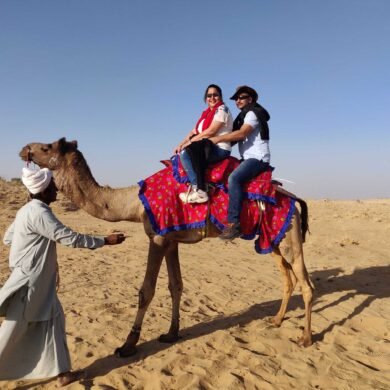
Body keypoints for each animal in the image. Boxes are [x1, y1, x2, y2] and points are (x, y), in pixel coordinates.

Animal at [19, 137, 316, 354]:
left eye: (46, 147)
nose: (24, 149)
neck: (134, 203)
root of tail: (293, 198)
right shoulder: (172, 241)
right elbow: (176, 285)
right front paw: (172, 333)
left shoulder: (158, 237)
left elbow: (146, 290)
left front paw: (128, 344)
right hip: (272, 237)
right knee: (288, 278)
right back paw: (277, 320)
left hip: (288, 234)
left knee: (306, 284)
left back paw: (305, 338)